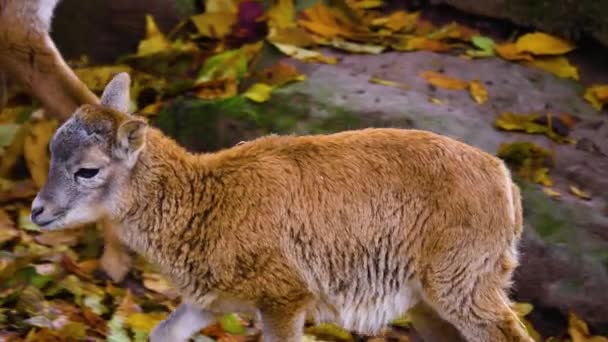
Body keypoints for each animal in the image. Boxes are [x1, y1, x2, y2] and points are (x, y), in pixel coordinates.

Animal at [30, 73, 532, 340]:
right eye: (52, 149)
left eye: (88, 171)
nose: (37, 210)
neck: (209, 201)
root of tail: (504, 180)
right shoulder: (209, 302)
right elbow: (161, 332)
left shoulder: (285, 299)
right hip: (429, 304)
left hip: (464, 288)